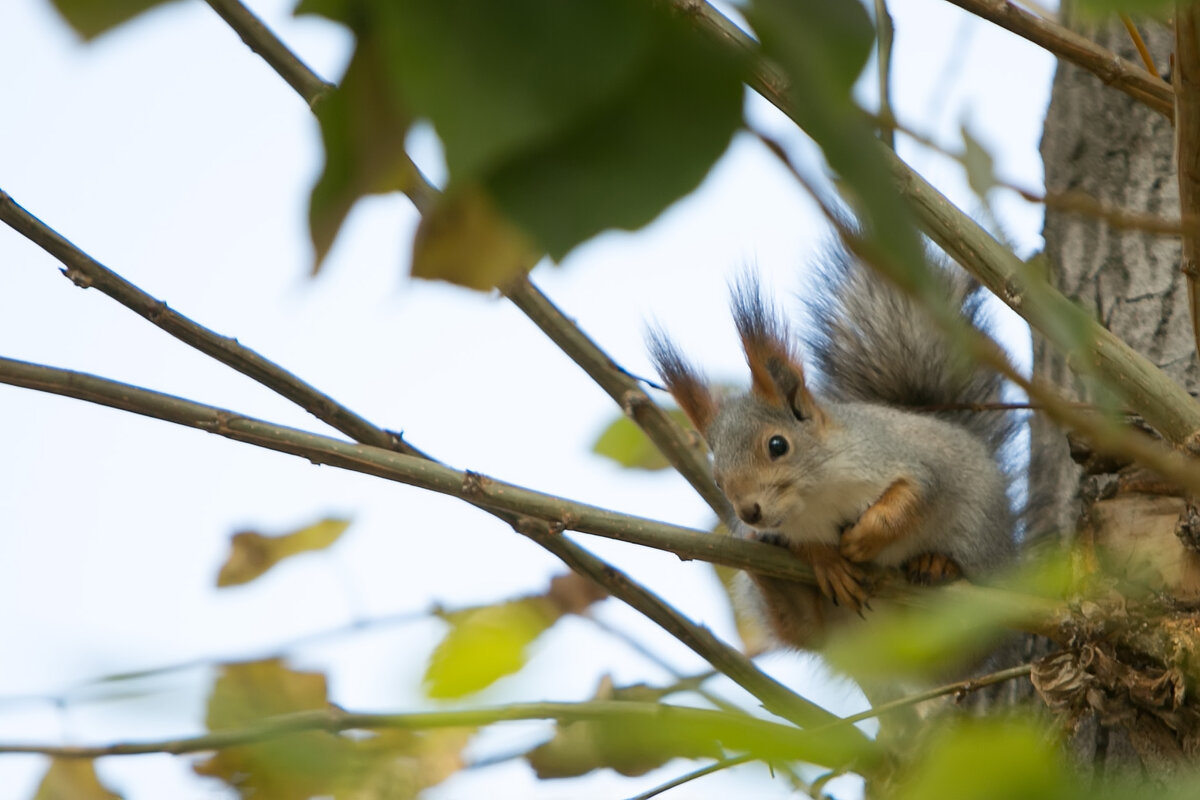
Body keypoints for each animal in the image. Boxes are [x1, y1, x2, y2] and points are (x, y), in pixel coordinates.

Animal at [652, 248, 1017, 652]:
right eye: (716, 478)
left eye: (777, 445)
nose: (749, 513)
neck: (816, 499)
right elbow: (805, 548)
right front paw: (826, 560)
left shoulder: (903, 460)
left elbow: (913, 495)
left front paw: (863, 539)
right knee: (801, 626)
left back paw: (937, 564)